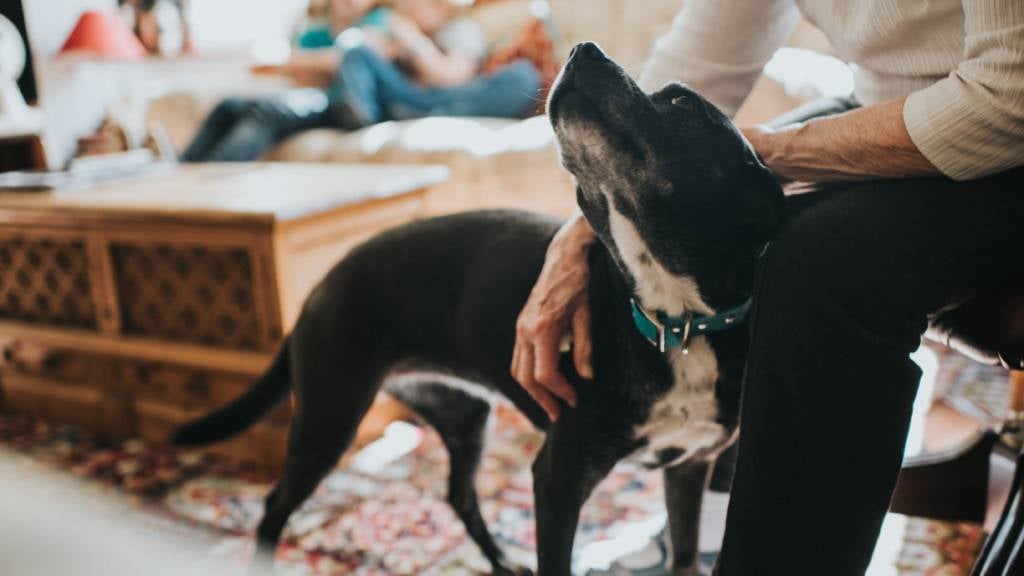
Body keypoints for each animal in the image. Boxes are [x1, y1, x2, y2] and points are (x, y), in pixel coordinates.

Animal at [172, 42, 778, 569]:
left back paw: (502, 561)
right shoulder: (558, 478)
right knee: (274, 505)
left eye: (682, 102)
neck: (678, 321)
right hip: (330, 414)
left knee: (457, 495)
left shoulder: (689, 467)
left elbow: (684, 553)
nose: (583, 49)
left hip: (462, 416)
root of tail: (325, 277)